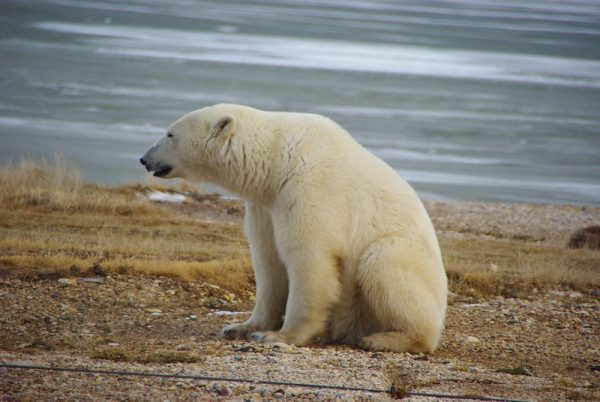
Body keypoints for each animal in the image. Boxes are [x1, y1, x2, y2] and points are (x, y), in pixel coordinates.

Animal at [142, 103, 446, 352]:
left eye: (169, 134)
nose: (144, 159)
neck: (277, 160)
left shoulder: (310, 189)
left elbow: (309, 259)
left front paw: (278, 337)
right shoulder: (265, 205)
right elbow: (268, 262)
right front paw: (241, 327)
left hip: (409, 267)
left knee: (384, 260)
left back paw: (385, 339)